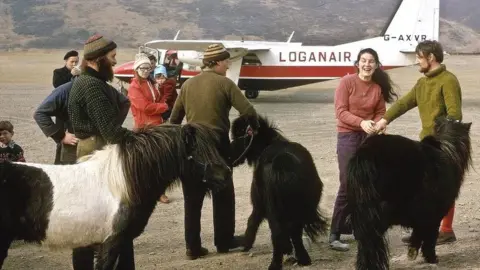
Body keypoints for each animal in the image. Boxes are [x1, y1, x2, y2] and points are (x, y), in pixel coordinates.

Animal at [230, 114, 328, 270]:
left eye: (238, 135)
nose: (228, 156)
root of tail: (283, 162)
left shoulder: (259, 204)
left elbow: (252, 220)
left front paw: (246, 245)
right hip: (297, 207)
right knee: (294, 231)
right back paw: (303, 259)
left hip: (273, 207)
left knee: (278, 234)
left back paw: (275, 264)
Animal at [346, 116, 470, 270]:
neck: (448, 149)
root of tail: (365, 155)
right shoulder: (433, 214)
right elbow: (429, 238)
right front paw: (431, 258)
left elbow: (419, 234)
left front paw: (413, 251)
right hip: (378, 215)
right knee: (372, 244)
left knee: (365, 245)